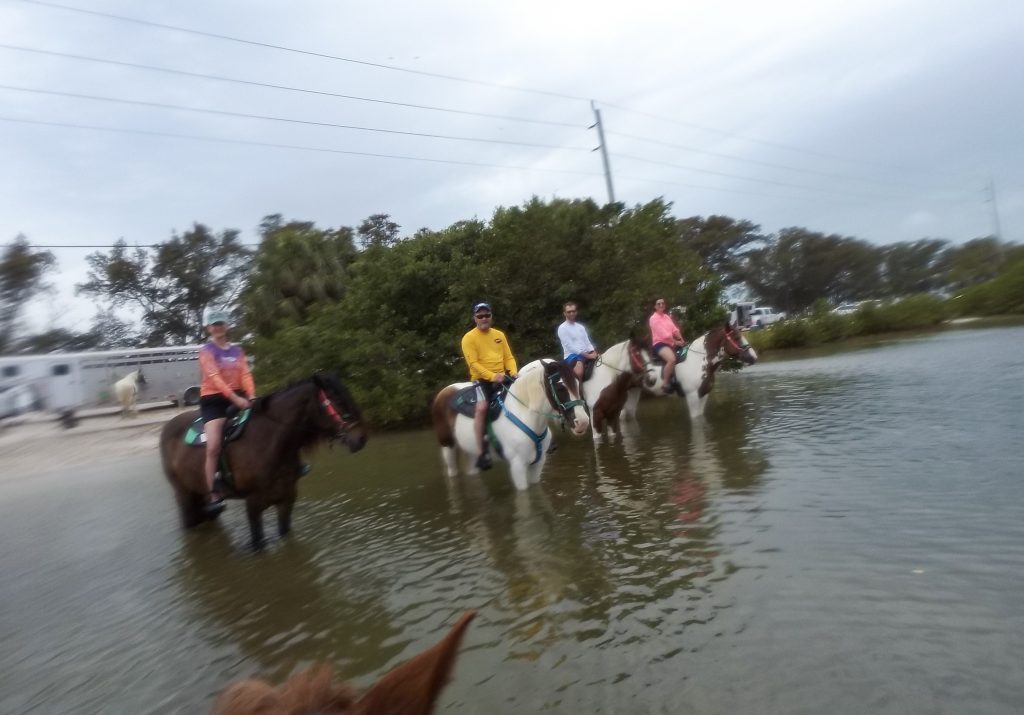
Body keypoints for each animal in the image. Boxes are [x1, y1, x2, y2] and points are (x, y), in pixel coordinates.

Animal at [159, 370, 368, 549]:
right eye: (338, 400)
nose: (361, 438)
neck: (270, 442)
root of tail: (167, 427)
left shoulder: (287, 498)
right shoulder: (253, 504)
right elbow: (258, 542)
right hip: (184, 495)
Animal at [432, 356, 593, 489]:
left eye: (578, 384)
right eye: (560, 387)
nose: (582, 422)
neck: (525, 415)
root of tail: (444, 392)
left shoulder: (538, 464)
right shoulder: (518, 466)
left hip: (472, 452)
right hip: (448, 447)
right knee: (452, 471)